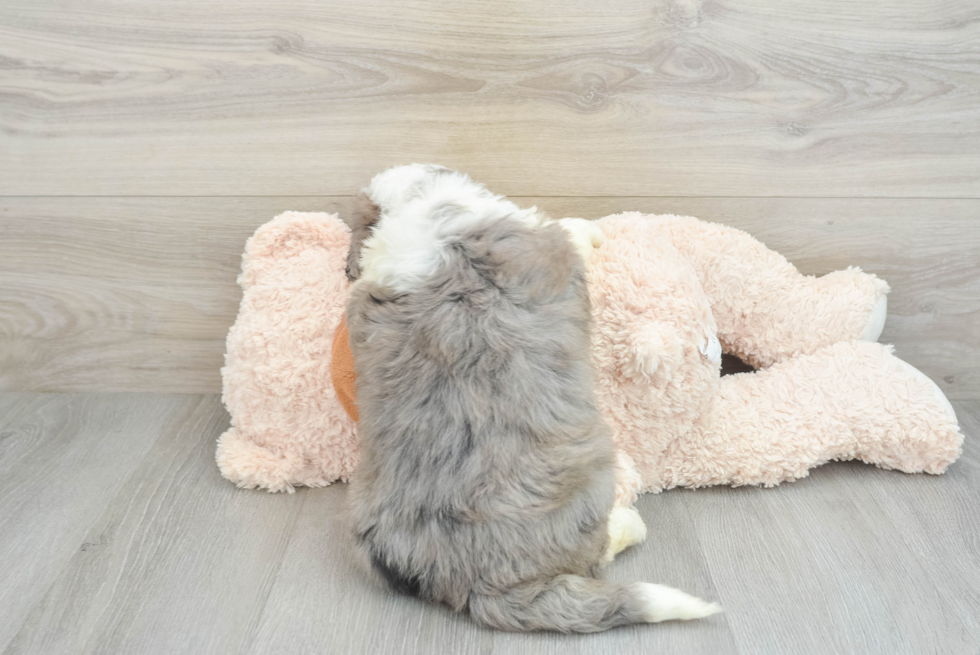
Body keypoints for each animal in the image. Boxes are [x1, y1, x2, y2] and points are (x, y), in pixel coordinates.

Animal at [344, 167, 720, 632]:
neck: (420, 207)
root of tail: (482, 584)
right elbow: (575, 231)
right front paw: (593, 229)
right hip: (592, 485)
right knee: (598, 550)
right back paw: (628, 523)